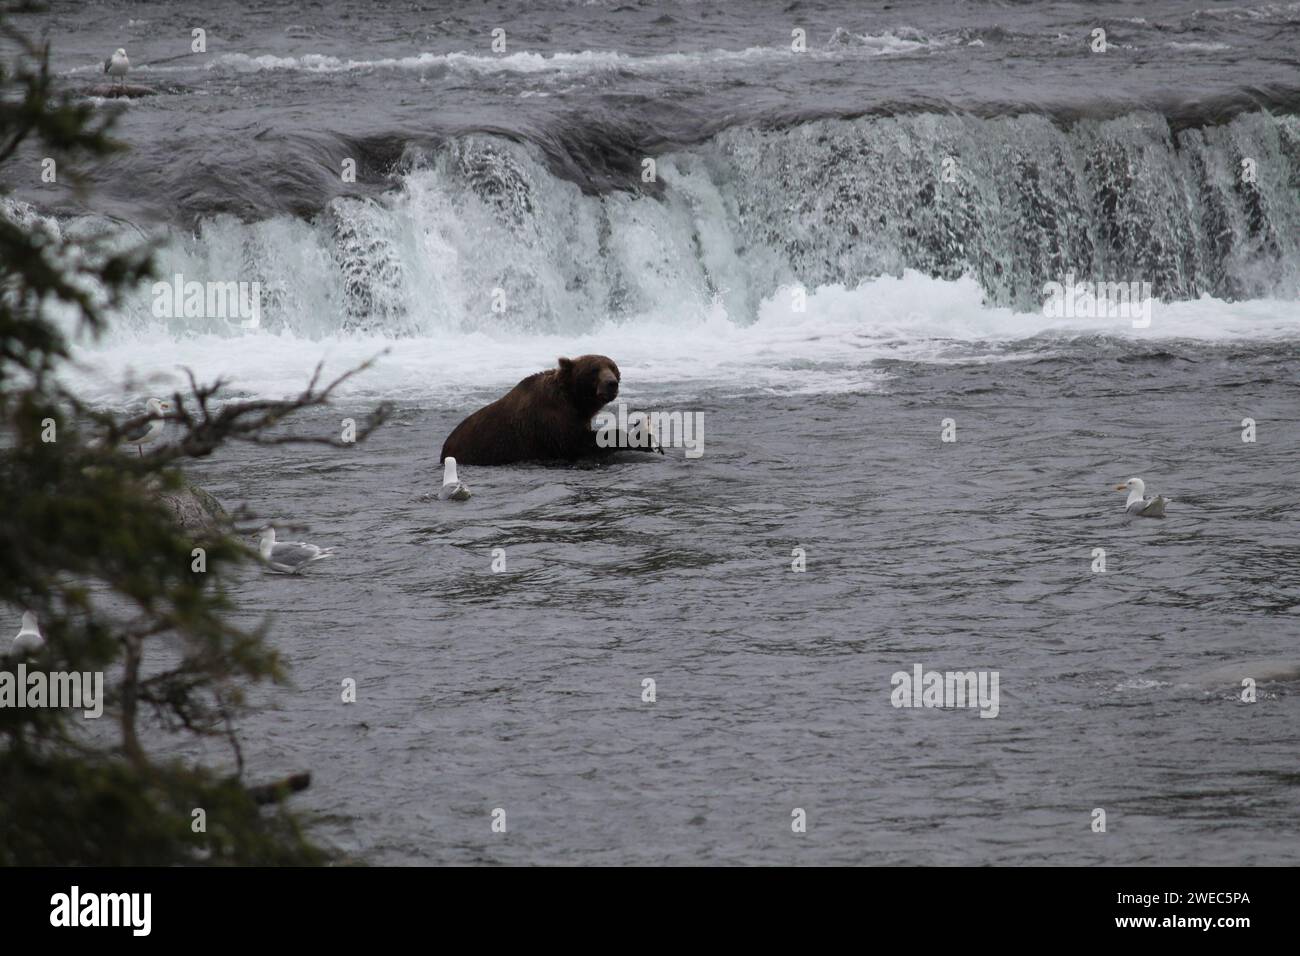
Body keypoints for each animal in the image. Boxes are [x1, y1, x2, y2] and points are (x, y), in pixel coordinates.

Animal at [441, 356, 660, 468]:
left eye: (613, 368)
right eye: (594, 369)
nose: (611, 383)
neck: (574, 400)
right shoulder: (550, 421)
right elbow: (578, 443)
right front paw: (640, 440)